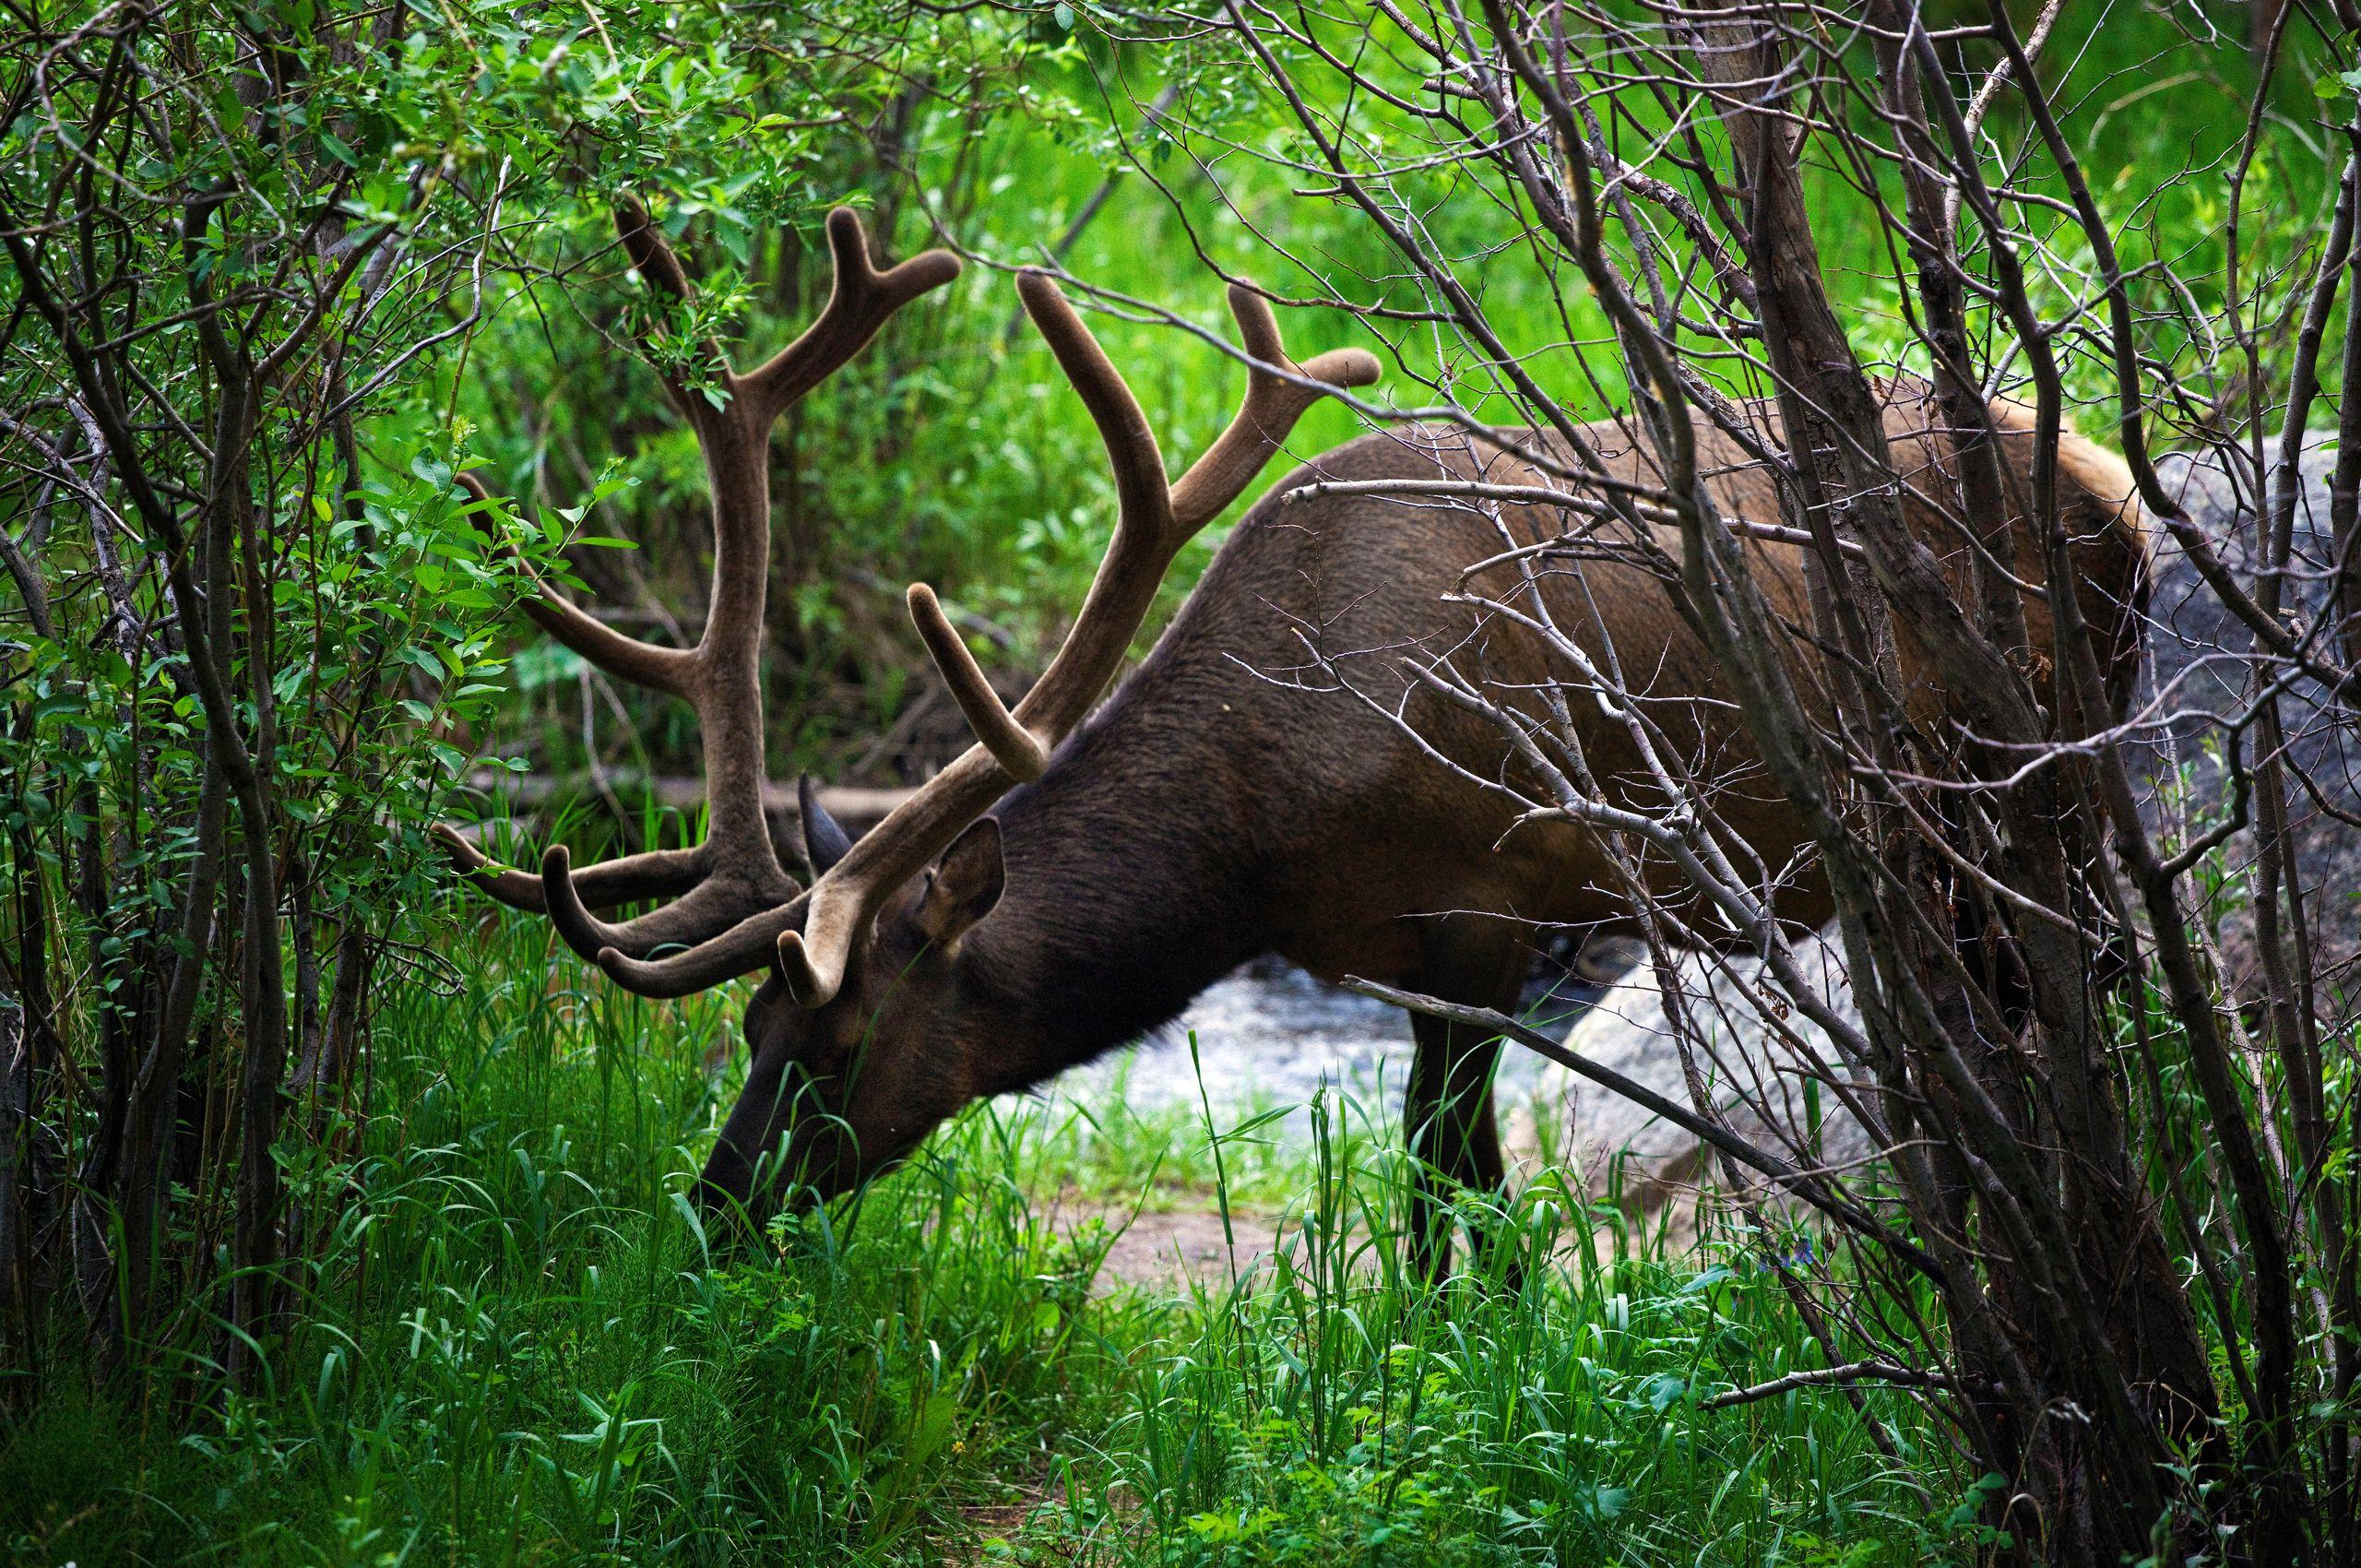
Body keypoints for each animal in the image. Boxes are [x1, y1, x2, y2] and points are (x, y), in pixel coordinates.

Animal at [442, 199, 2151, 1273]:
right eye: (748, 1034)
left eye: (841, 1044)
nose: (714, 1214)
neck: (1261, 840)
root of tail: (2113, 483)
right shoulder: (1389, 949)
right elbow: (1438, 1182)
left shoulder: (1487, 901)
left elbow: (1450, 1189)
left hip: (2029, 784)